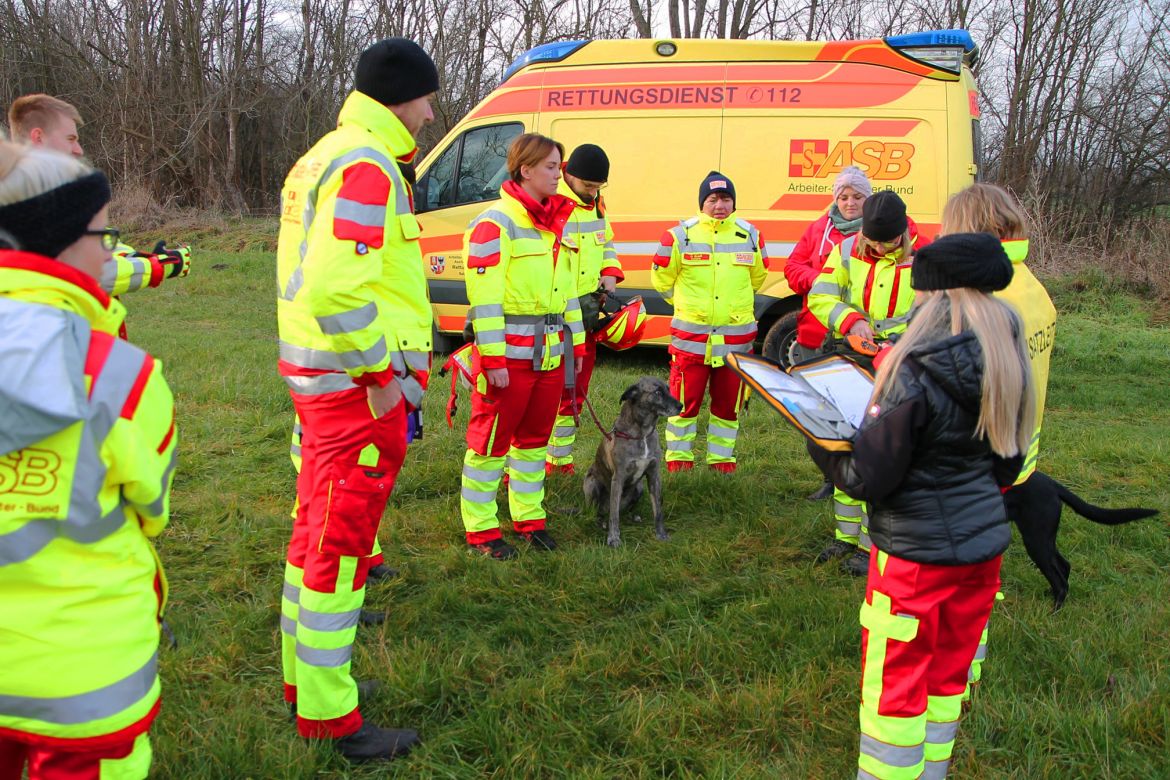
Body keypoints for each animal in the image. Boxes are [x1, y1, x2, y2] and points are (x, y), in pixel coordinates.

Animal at [580, 376, 683, 549]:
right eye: (658, 392)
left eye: (668, 389)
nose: (681, 406)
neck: (642, 434)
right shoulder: (618, 479)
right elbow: (614, 516)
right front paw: (614, 538)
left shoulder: (653, 475)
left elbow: (658, 511)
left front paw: (661, 534)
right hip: (592, 484)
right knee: (600, 512)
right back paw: (601, 522)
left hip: (639, 487)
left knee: (623, 511)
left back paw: (633, 516)